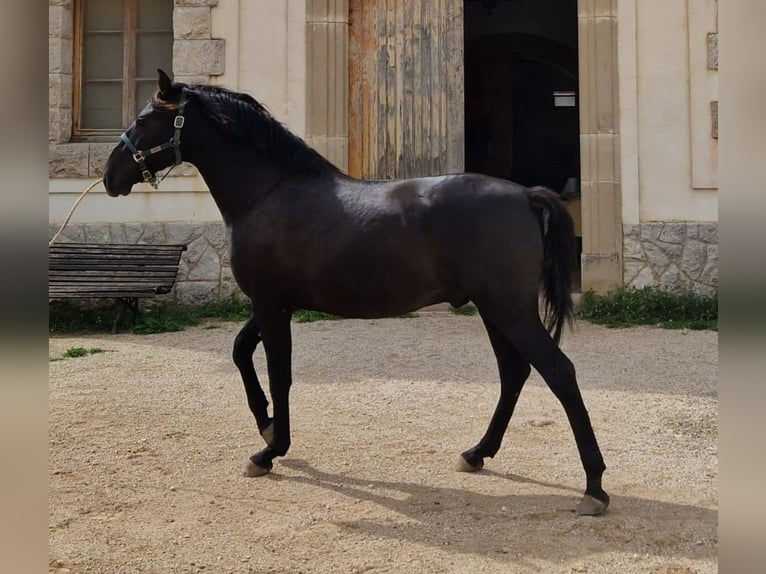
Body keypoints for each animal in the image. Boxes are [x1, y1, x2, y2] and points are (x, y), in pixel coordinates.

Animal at [103, 72, 612, 516]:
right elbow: (240, 352)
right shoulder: (275, 304)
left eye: (145, 119)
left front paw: (270, 450)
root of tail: (525, 195)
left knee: (559, 374)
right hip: (495, 311)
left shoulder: (270, 305)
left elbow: (280, 375)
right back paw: (476, 453)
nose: (110, 175)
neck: (268, 192)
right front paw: (266, 426)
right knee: (514, 374)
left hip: (510, 311)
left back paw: (594, 488)